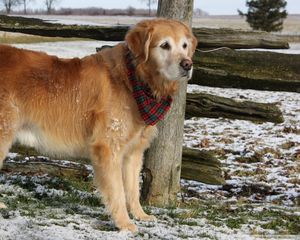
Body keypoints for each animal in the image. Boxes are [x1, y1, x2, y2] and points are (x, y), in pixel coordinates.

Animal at [0, 19, 197, 232]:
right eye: (164, 45)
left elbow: (132, 189)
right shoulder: (108, 147)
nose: (187, 64)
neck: (133, 79)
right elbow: (118, 191)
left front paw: (140, 215)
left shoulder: (133, 152)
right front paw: (124, 223)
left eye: (184, 46)